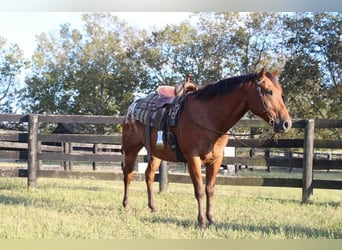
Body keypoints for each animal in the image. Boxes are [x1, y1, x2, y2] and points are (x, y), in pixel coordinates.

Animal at [120, 67, 292, 229]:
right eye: (269, 91)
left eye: (280, 92)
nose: (286, 123)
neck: (208, 117)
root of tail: (131, 107)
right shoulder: (193, 159)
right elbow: (200, 190)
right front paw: (202, 221)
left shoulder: (216, 160)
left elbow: (210, 189)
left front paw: (211, 219)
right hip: (130, 149)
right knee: (128, 175)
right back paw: (127, 206)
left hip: (157, 153)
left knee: (148, 175)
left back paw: (153, 207)